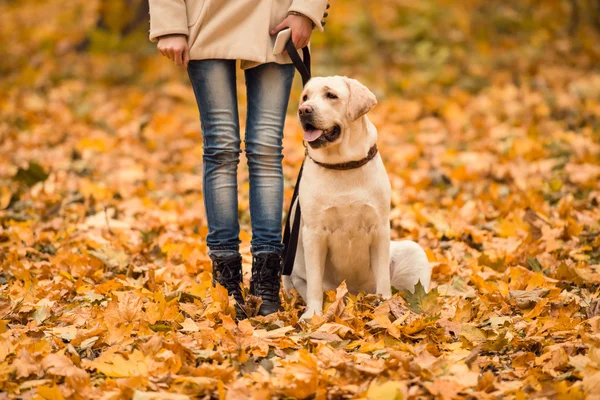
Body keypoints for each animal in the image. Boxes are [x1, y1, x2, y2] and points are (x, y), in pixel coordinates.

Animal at [282, 76, 432, 318]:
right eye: (305, 97)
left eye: (331, 95)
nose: (303, 110)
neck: (343, 165)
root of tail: (354, 296)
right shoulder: (313, 233)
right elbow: (314, 283)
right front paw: (312, 315)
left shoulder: (380, 228)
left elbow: (383, 279)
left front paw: (386, 308)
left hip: (413, 252)